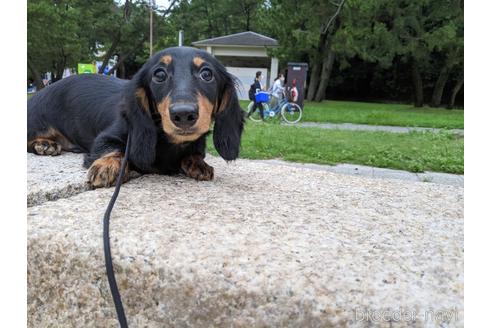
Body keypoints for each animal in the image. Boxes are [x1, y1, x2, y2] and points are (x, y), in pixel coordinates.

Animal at [26, 47, 245, 188]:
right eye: (159, 75)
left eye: (207, 74)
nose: (183, 114)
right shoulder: (105, 138)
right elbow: (116, 149)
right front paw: (107, 165)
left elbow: (195, 154)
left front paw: (198, 164)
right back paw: (45, 144)